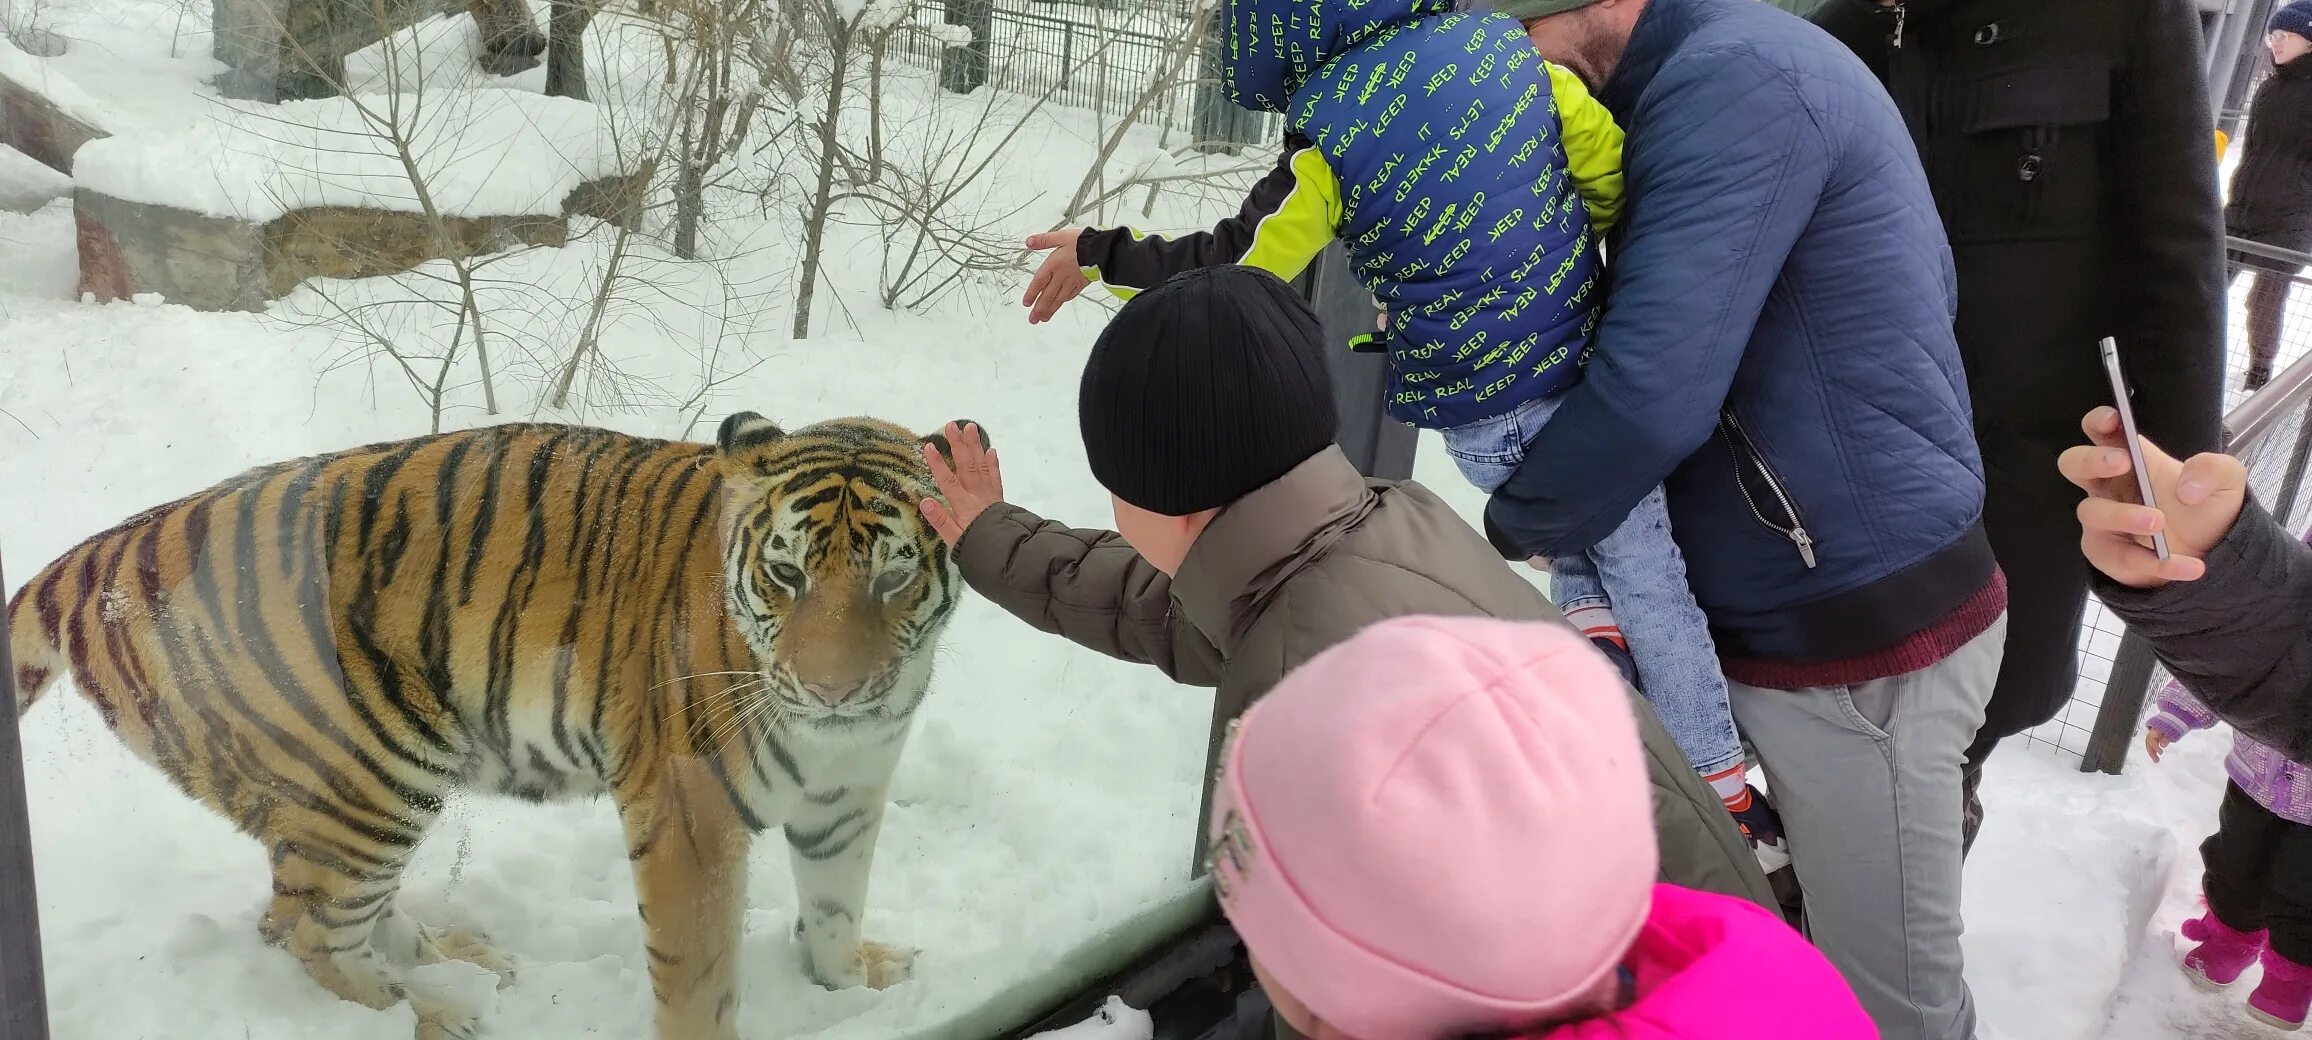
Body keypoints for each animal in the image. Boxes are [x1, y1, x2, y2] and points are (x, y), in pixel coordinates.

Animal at [0, 411, 980, 1040]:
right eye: (785, 573)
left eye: (895, 574)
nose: (831, 691)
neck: (844, 734)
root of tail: (107, 547)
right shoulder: (689, 820)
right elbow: (701, 980)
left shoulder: (847, 796)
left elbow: (835, 908)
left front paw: (851, 986)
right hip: (371, 776)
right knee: (303, 927)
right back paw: (441, 1012)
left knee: (321, 907)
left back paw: (459, 960)